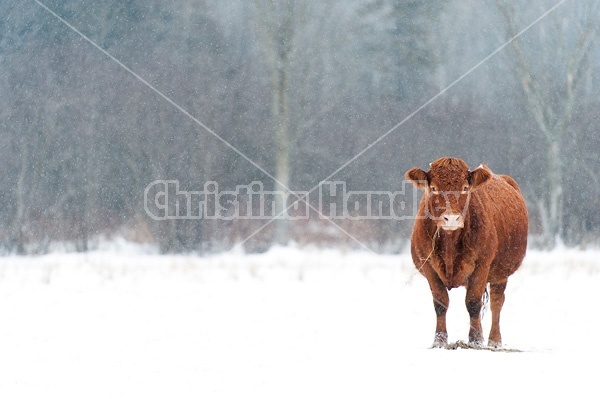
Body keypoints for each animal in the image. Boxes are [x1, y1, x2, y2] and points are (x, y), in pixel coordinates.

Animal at [406, 158, 528, 348]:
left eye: (464, 188)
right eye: (433, 188)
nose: (451, 218)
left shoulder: (482, 265)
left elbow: (473, 302)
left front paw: (476, 340)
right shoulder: (429, 265)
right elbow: (440, 302)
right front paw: (439, 341)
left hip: (501, 272)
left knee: (496, 302)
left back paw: (494, 340)